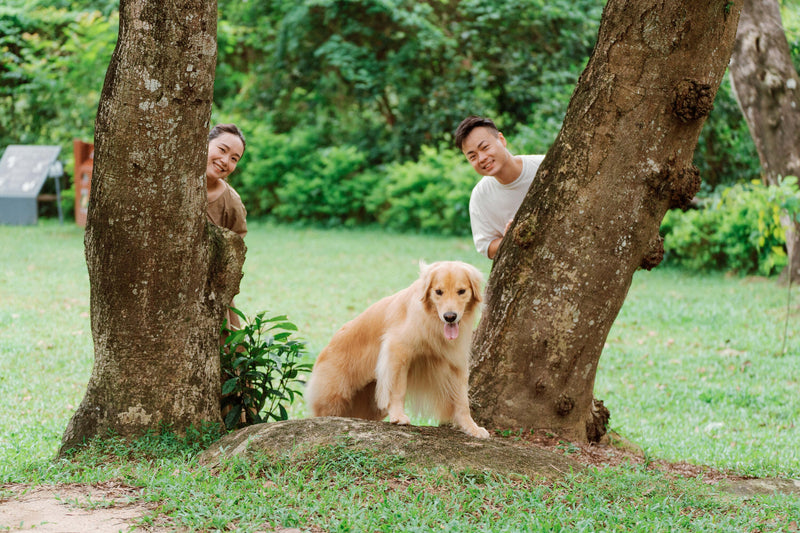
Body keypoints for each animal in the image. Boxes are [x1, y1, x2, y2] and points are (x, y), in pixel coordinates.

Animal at [304, 260, 488, 438]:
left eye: (461, 291)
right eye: (438, 292)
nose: (450, 317)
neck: (430, 319)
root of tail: (325, 350)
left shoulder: (456, 362)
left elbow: (462, 401)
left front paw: (471, 427)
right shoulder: (397, 350)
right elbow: (398, 389)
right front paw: (399, 416)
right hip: (334, 398)